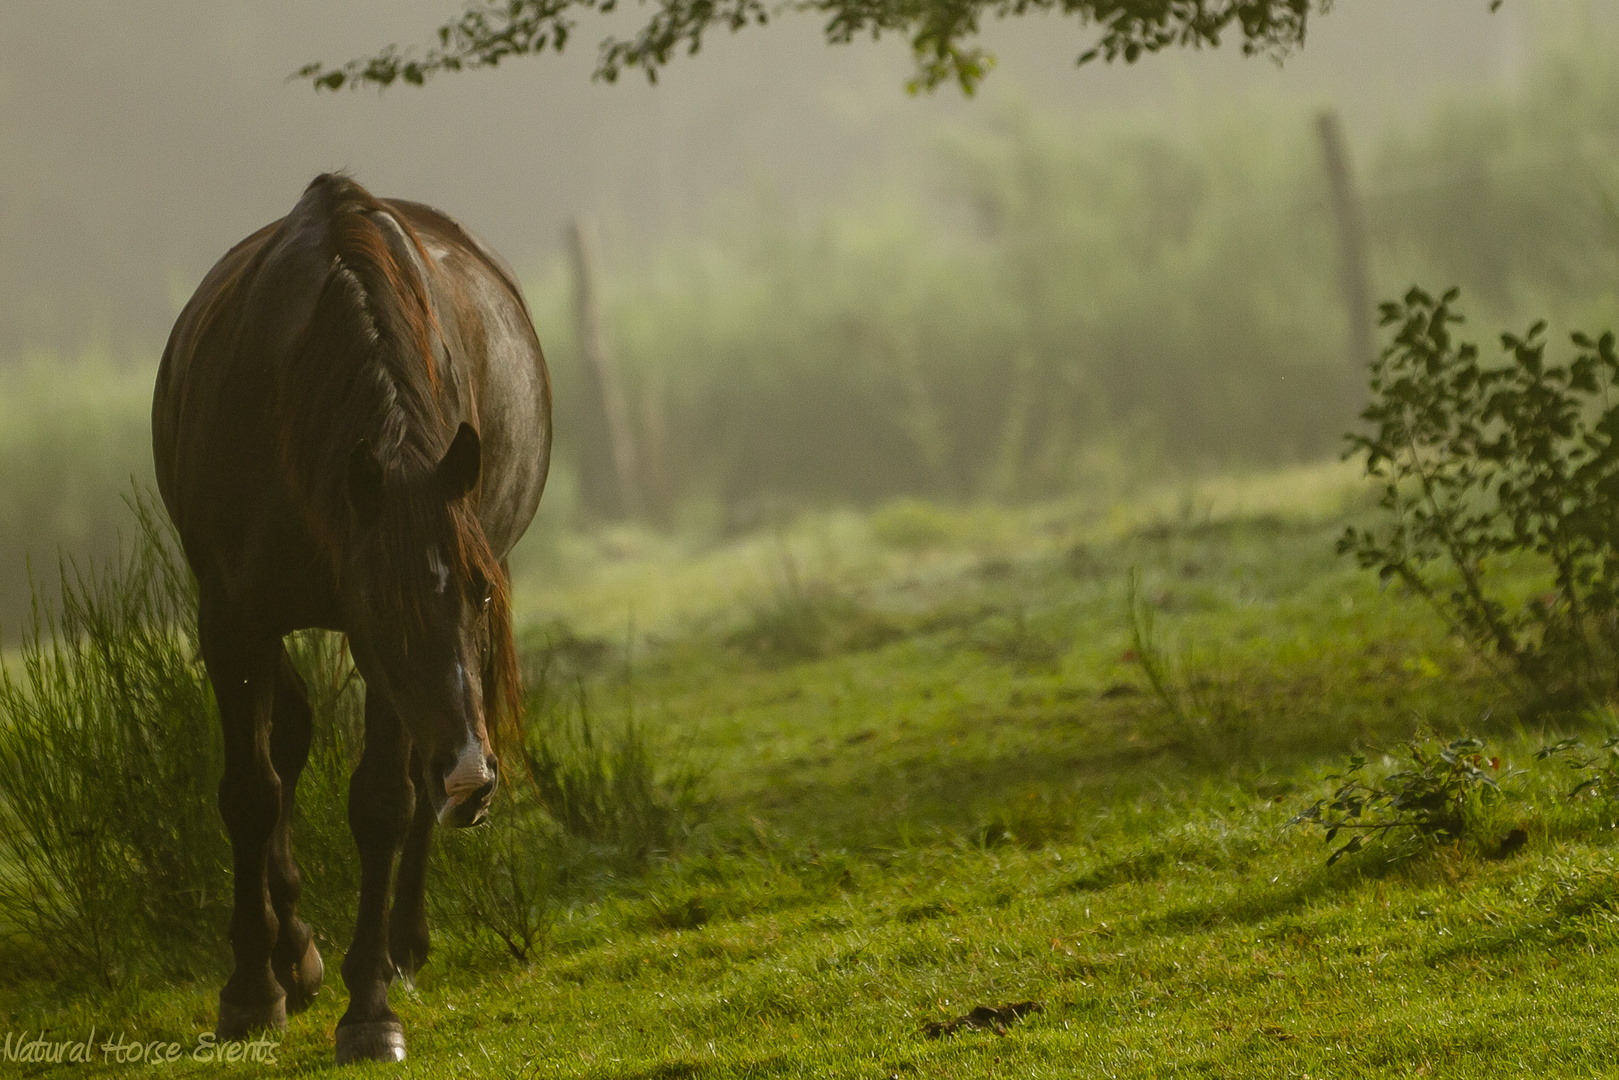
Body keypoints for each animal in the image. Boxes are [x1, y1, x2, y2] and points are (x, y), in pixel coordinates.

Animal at [154, 175, 553, 1062]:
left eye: (478, 593)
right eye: (382, 601)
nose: (472, 780)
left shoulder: (396, 668)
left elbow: (381, 803)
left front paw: (369, 1007)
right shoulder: (234, 619)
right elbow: (252, 791)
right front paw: (252, 989)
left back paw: (401, 944)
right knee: (290, 742)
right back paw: (293, 953)